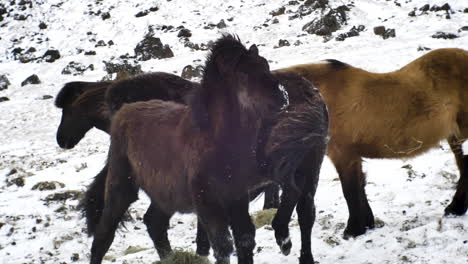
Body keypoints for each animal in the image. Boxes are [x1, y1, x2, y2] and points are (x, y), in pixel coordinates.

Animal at [86, 34, 288, 264]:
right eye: (244, 74)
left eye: (265, 64)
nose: (282, 99)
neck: (215, 139)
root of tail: (122, 112)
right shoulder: (208, 203)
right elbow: (222, 246)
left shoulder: (236, 197)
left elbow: (245, 239)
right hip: (121, 187)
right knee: (104, 235)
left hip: (164, 197)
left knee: (154, 223)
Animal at [276, 47, 468, 237]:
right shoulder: (352, 156)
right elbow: (360, 188)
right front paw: (367, 224)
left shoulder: (343, 154)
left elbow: (350, 191)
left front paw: (353, 229)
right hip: (455, 138)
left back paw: (455, 208)